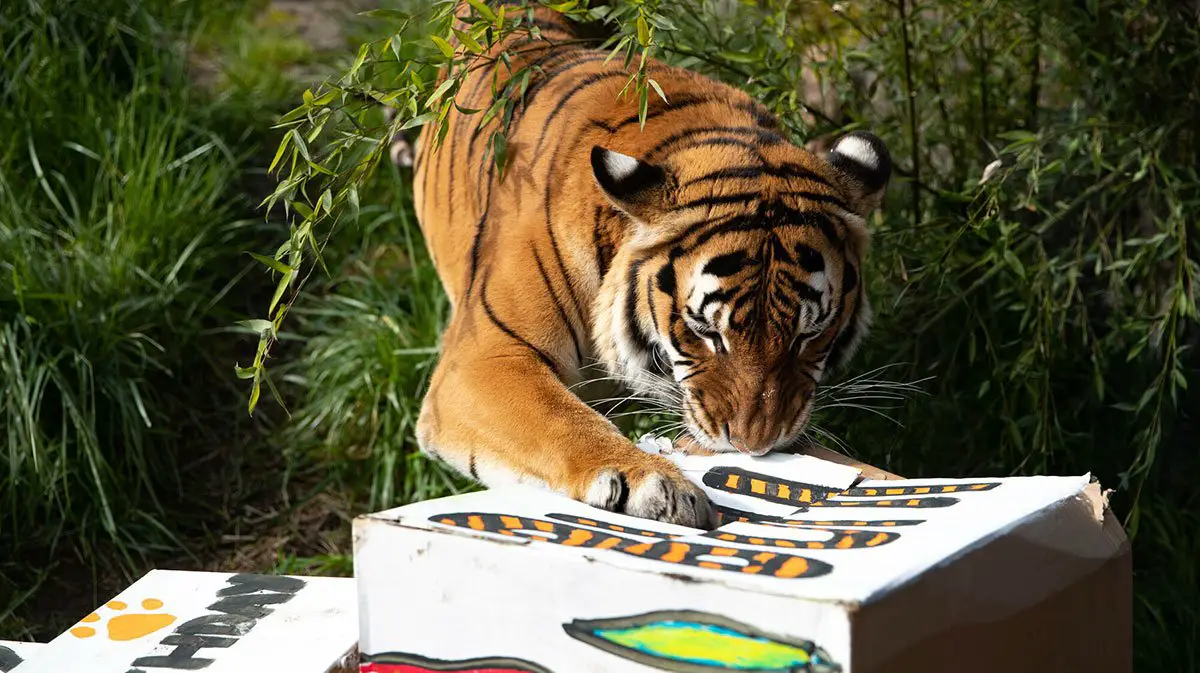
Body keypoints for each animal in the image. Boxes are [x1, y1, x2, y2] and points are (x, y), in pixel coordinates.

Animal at [408, 2, 888, 530]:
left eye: (810, 334)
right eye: (707, 332)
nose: (755, 447)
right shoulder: (485, 356)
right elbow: (559, 417)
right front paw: (652, 483)